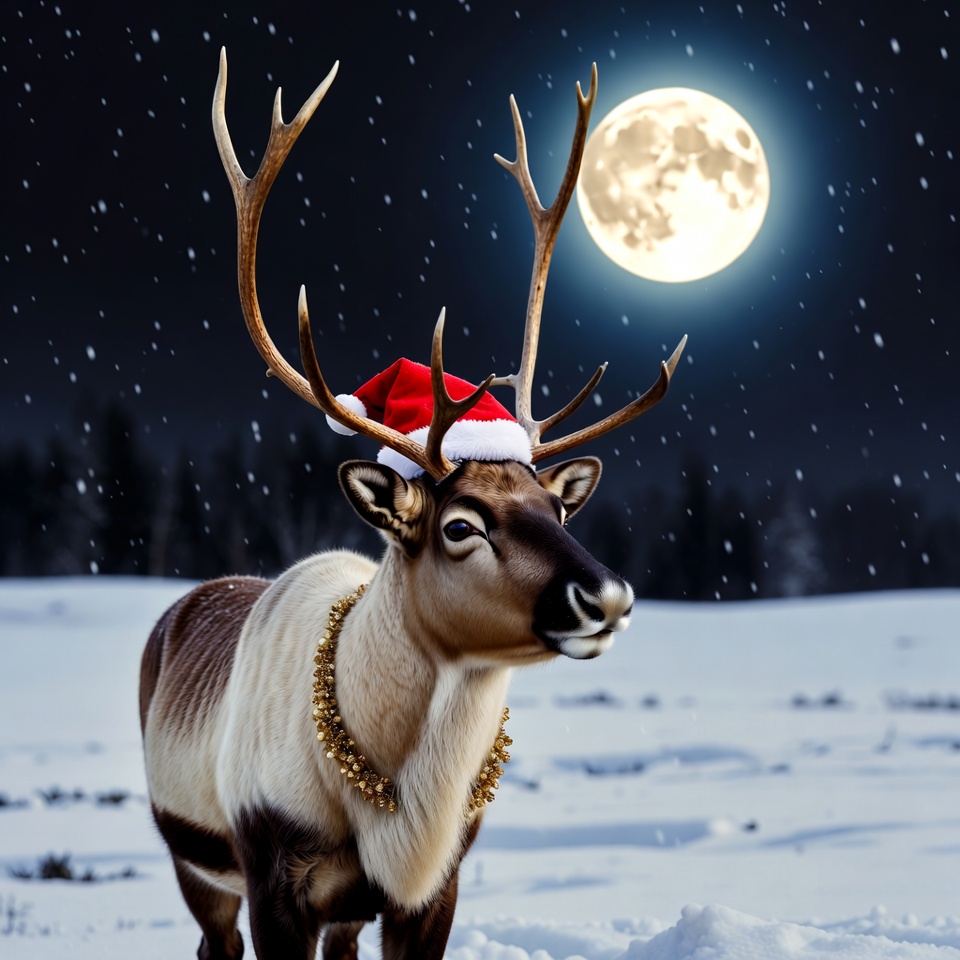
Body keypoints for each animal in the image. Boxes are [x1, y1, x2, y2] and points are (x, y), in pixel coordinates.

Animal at [139, 48, 686, 960]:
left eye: (557, 508)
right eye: (461, 525)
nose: (604, 595)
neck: (397, 815)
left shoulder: (435, 886)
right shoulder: (272, 874)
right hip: (196, 863)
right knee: (212, 942)